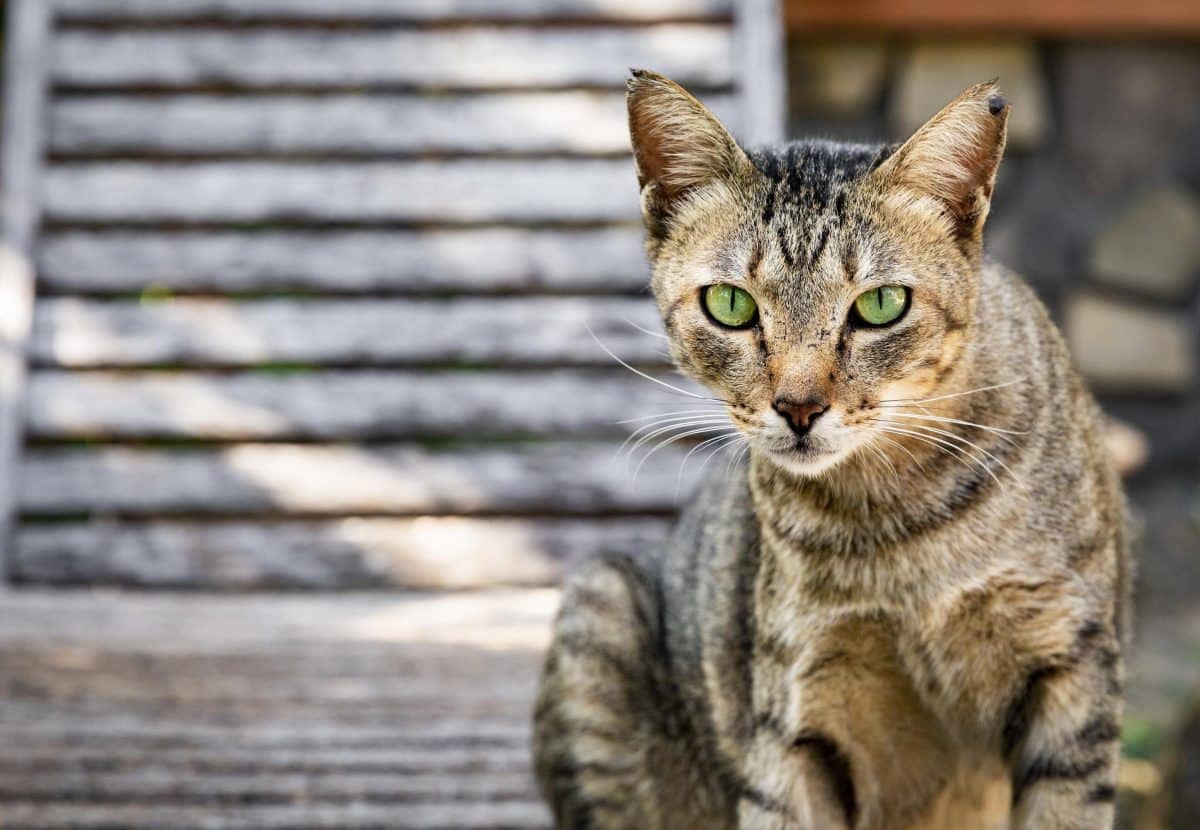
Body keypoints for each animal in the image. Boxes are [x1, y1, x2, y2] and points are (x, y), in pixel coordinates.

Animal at [530, 71, 1128, 830]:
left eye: (881, 305)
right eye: (730, 304)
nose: (798, 407)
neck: (898, 528)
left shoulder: (1071, 670)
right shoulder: (794, 713)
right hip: (600, 608)